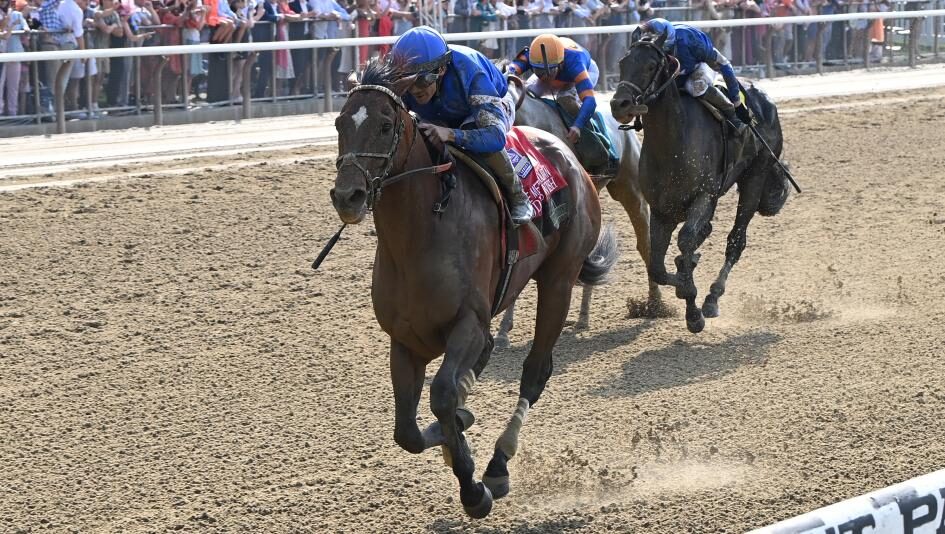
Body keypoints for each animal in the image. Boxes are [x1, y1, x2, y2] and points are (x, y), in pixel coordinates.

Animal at [328, 60, 616, 520]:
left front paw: (473, 489)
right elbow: (407, 431)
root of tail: (568, 153)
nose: (347, 196)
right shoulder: (405, 340)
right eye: (340, 123)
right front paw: (454, 432)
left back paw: (498, 465)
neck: (420, 234)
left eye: (386, 125)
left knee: (535, 373)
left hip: (558, 280)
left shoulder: (468, 323)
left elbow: (443, 395)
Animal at [490, 75, 668, 352]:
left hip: (630, 190)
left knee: (644, 242)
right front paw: (502, 330)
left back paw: (654, 303)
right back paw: (583, 316)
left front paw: (503, 330)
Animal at [608, 31, 792, 332]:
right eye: (622, 63)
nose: (618, 105)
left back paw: (712, 297)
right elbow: (657, 267)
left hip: (754, 177)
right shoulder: (662, 210)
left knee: (735, 241)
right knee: (703, 234)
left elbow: (685, 240)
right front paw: (685, 287)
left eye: (650, 65)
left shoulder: (703, 196)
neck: (672, 144)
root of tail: (765, 98)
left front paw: (692, 303)